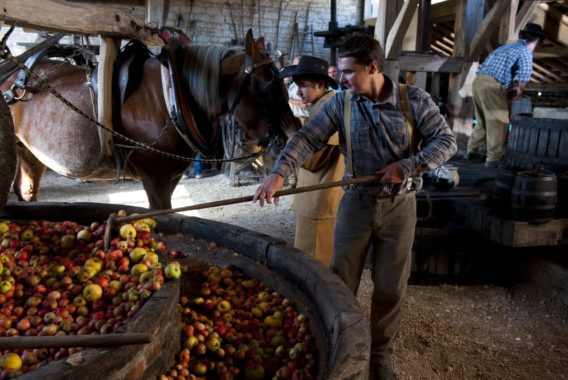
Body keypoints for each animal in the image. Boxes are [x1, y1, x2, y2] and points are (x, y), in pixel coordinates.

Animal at [1, 30, 292, 211]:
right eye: (268, 86)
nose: (291, 133)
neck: (172, 95)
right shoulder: (155, 177)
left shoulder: (171, 176)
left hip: (29, 153)